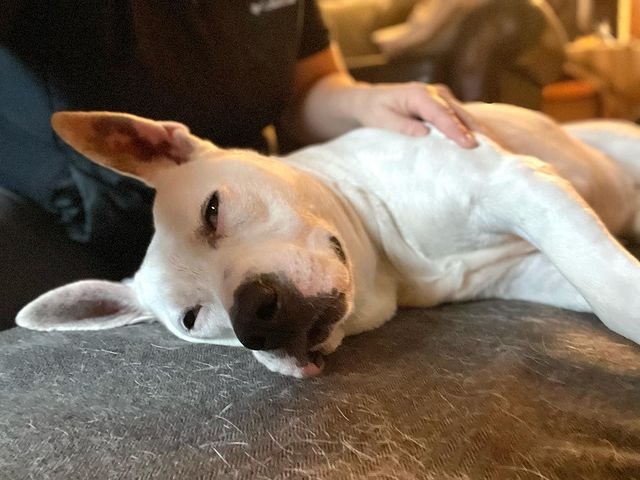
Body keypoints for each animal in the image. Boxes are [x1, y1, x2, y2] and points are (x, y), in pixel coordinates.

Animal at [13, 103, 640, 376]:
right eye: (192, 319)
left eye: (212, 211)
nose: (254, 320)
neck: (388, 262)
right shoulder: (531, 268)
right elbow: (602, 293)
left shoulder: (517, 186)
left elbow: (614, 298)